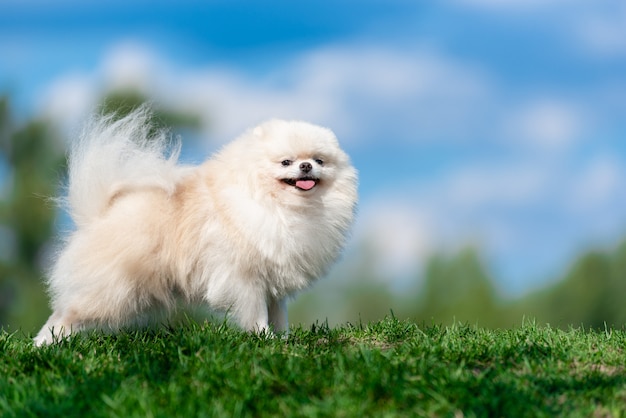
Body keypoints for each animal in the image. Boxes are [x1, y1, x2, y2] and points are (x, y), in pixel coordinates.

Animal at [34, 108, 356, 346]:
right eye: (286, 162)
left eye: (319, 160)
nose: (306, 166)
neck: (282, 206)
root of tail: (99, 214)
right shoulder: (244, 278)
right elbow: (257, 314)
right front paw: (263, 339)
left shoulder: (273, 279)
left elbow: (278, 313)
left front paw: (283, 339)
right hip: (111, 291)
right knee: (64, 316)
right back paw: (42, 345)